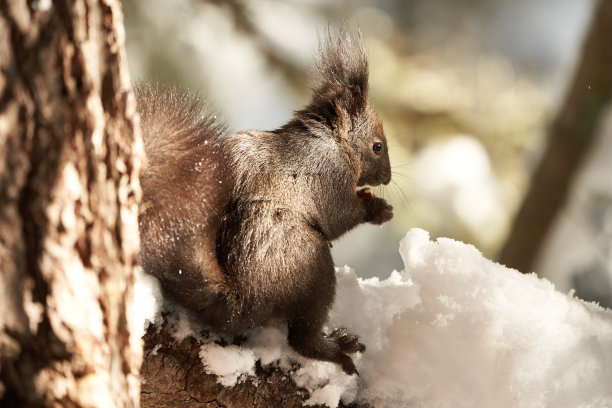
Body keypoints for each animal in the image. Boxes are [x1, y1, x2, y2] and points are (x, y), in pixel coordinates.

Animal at [136, 31, 392, 376]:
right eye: (377, 147)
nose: (388, 178)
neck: (331, 141)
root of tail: (242, 301)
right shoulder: (328, 177)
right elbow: (339, 217)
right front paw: (378, 209)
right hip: (312, 267)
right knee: (302, 337)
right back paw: (338, 351)